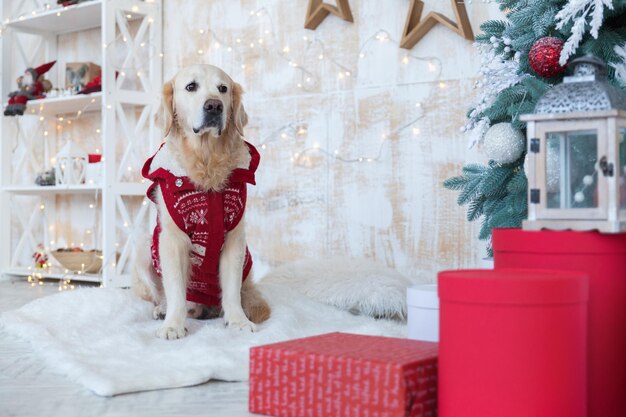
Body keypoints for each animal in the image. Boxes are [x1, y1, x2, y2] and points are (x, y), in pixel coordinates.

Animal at [132, 65, 268, 338]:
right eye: (191, 87)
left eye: (223, 88)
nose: (214, 106)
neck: (206, 159)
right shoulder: (172, 240)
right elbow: (175, 287)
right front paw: (173, 324)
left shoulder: (235, 238)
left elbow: (231, 288)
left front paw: (237, 320)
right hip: (143, 249)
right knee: (166, 296)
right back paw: (165, 309)